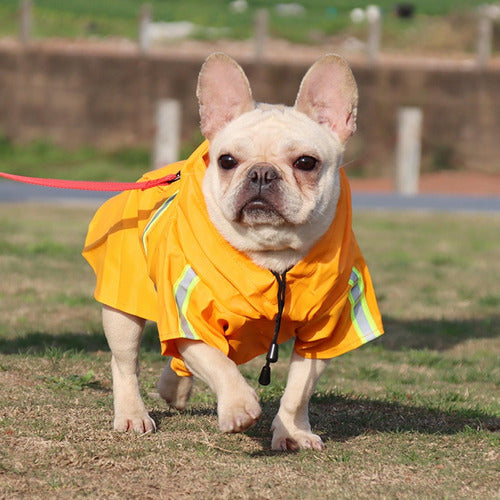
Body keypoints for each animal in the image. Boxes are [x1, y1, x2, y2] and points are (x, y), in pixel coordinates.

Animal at [84, 52, 384, 452]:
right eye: (226, 161)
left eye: (306, 163)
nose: (261, 173)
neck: (271, 254)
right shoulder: (189, 320)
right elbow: (217, 362)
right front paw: (239, 407)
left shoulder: (323, 335)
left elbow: (298, 391)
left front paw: (292, 431)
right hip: (124, 309)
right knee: (125, 363)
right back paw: (132, 414)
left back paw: (173, 389)